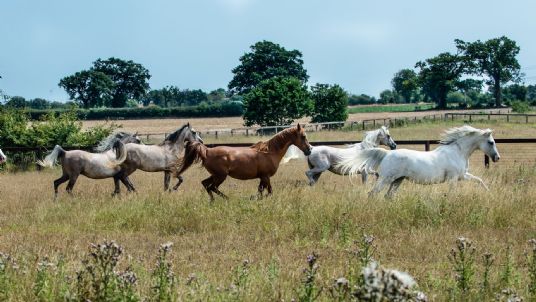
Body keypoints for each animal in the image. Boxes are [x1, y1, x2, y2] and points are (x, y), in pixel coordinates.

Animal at [176, 123, 312, 201]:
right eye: (303, 136)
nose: (309, 150)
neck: (270, 152)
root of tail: (207, 151)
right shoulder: (266, 176)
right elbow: (269, 191)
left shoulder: (262, 177)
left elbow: (261, 191)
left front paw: (256, 199)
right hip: (220, 176)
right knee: (212, 187)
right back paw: (227, 199)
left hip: (215, 175)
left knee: (205, 184)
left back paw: (213, 201)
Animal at [338, 125, 500, 198]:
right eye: (491, 142)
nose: (497, 158)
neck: (458, 152)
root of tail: (387, 154)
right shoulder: (453, 178)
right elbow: (451, 193)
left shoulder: (463, 176)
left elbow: (479, 180)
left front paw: (489, 193)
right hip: (386, 179)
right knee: (372, 193)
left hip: (398, 180)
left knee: (388, 196)